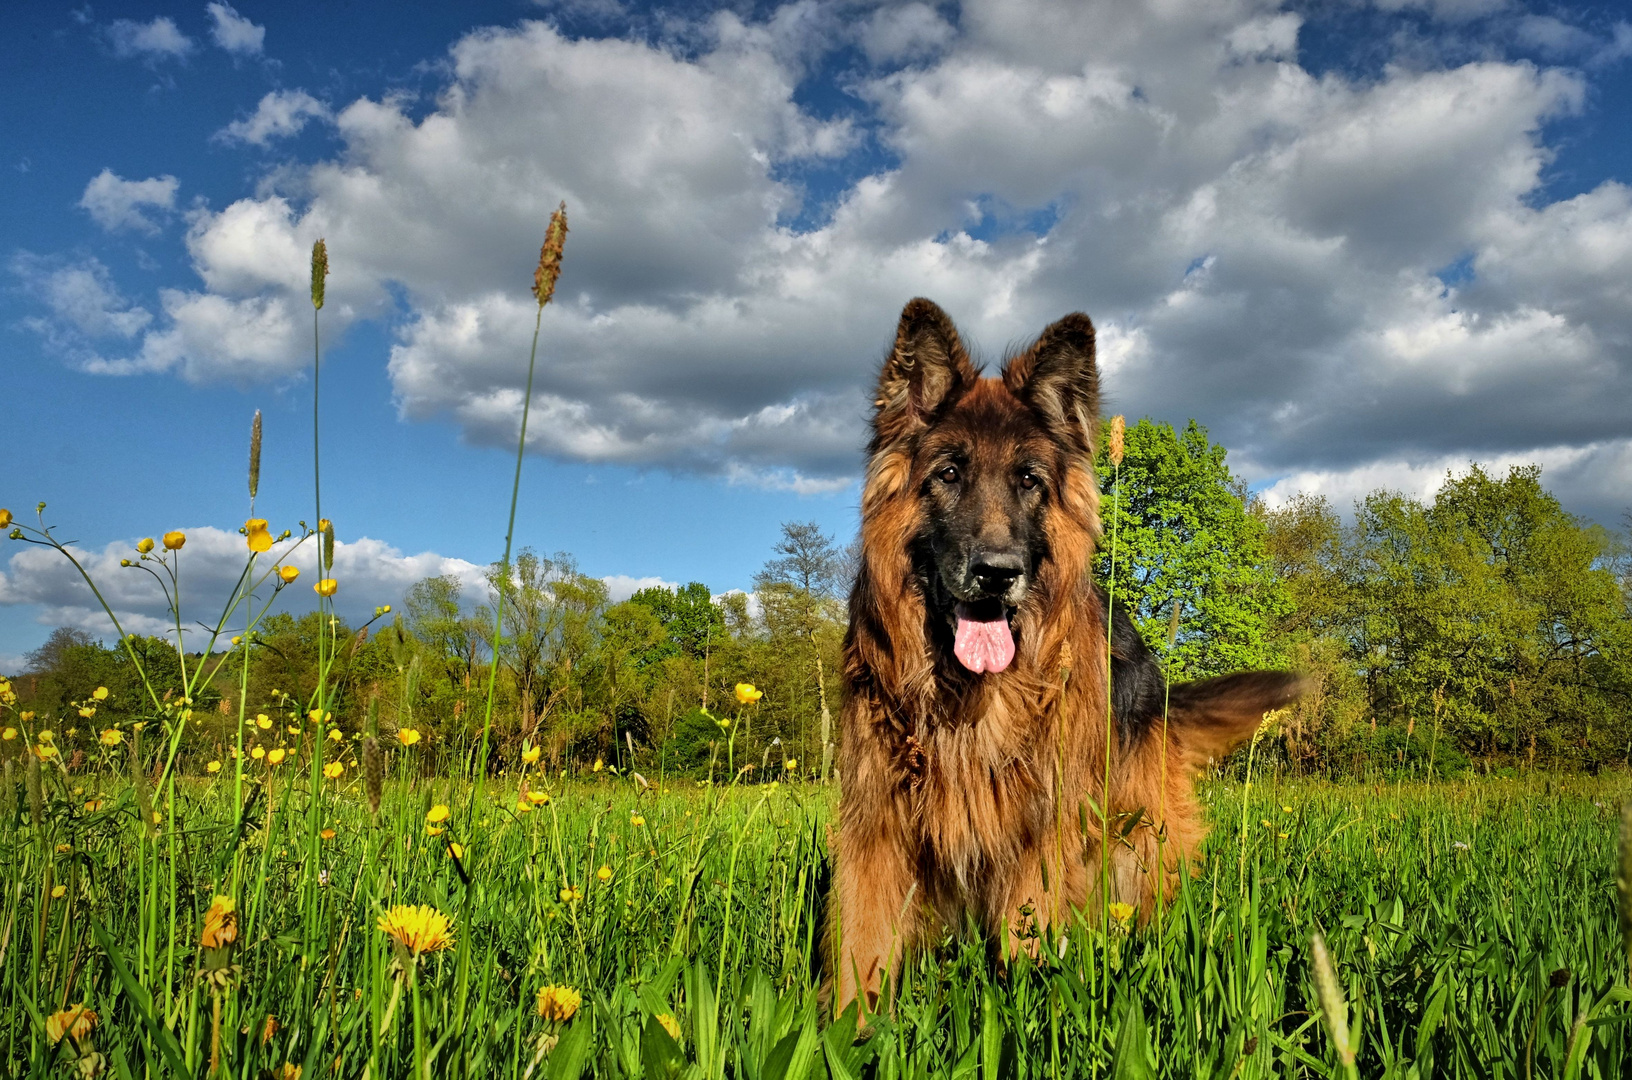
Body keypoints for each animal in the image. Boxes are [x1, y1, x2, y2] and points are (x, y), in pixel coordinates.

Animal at [829, 296, 1299, 1018]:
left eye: (1028, 481)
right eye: (948, 474)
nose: (998, 573)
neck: (968, 696)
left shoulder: (1044, 833)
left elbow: (1029, 942)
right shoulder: (878, 823)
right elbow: (863, 943)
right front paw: (843, 1031)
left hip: (1137, 841)